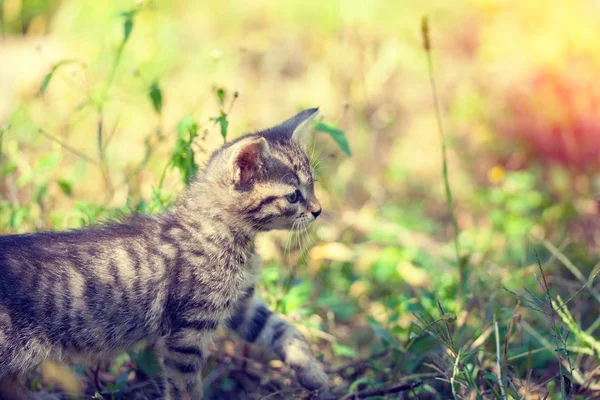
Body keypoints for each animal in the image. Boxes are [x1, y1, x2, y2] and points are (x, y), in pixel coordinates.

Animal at [0, 108, 328, 398]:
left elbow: (283, 329)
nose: (318, 210)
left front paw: (313, 373)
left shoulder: (242, 305)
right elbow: (187, 388)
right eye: (293, 196)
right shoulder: (185, 333)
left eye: (313, 185)